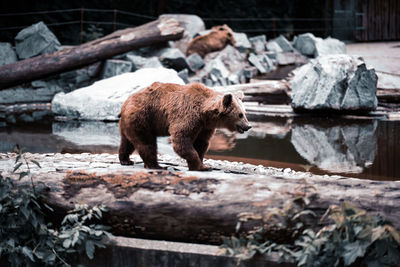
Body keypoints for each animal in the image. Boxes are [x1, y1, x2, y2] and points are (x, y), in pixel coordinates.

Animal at [117, 82, 252, 172]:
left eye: (245, 113)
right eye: (240, 114)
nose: (248, 126)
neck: (204, 113)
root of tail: (124, 104)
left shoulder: (204, 126)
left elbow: (201, 143)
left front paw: (204, 164)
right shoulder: (188, 115)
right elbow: (182, 141)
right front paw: (199, 166)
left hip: (129, 122)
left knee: (127, 142)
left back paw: (126, 160)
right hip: (143, 117)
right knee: (146, 142)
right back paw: (156, 165)